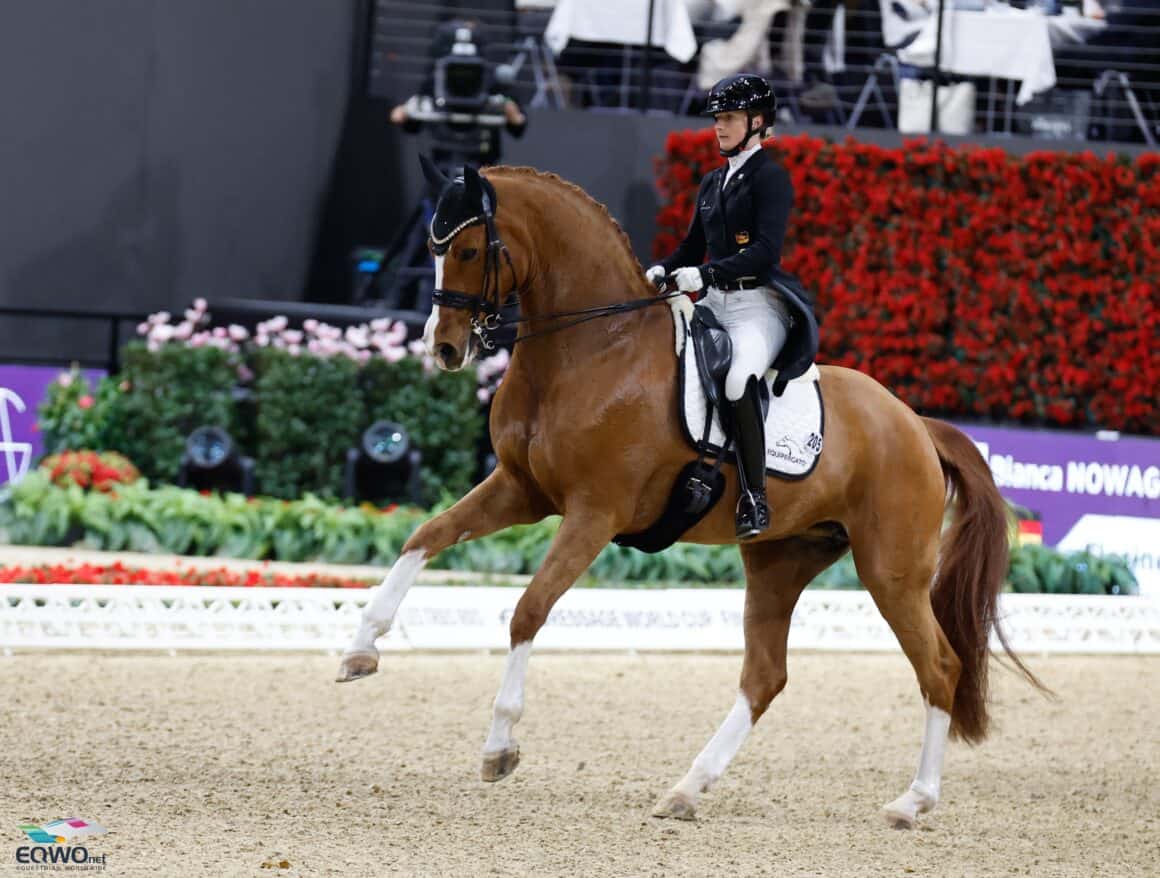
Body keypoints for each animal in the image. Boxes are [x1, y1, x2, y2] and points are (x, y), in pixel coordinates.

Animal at [335, 157, 1043, 827]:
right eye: (432, 246)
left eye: (469, 249)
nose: (444, 348)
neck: (592, 349)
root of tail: (915, 423)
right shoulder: (521, 491)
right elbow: (425, 536)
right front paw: (360, 651)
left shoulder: (594, 513)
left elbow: (528, 610)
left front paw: (499, 746)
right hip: (780, 559)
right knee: (766, 676)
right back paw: (687, 789)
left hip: (890, 572)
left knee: (939, 668)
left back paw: (912, 802)